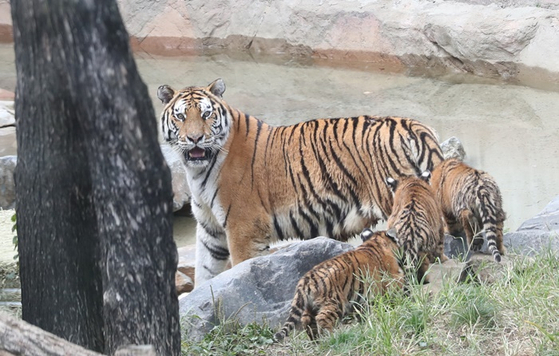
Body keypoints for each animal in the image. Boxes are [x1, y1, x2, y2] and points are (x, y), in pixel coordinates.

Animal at [155, 79, 444, 286]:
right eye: (181, 116)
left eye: (206, 115)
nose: (194, 139)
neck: (198, 172)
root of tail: (413, 124)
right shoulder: (210, 231)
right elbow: (205, 274)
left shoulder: (244, 229)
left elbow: (241, 268)